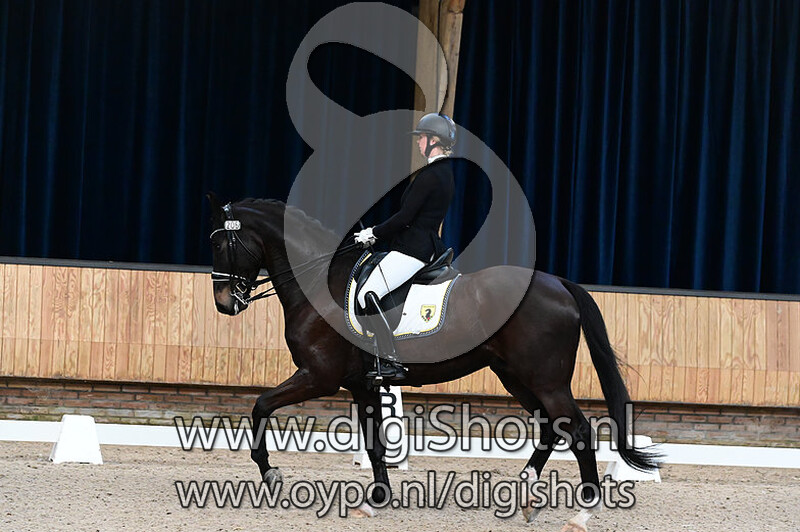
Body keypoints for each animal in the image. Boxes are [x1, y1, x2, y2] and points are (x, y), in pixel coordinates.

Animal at [206, 193, 659, 531]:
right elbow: (373, 444)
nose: (225, 304)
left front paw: (270, 473)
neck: (320, 283)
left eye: (219, 245)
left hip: (545, 379)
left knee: (578, 430)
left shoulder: (319, 376)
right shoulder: (361, 384)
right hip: (517, 377)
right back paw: (525, 499)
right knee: (553, 427)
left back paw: (581, 514)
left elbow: (260, 405)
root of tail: (560, 284)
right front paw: (376, 499)